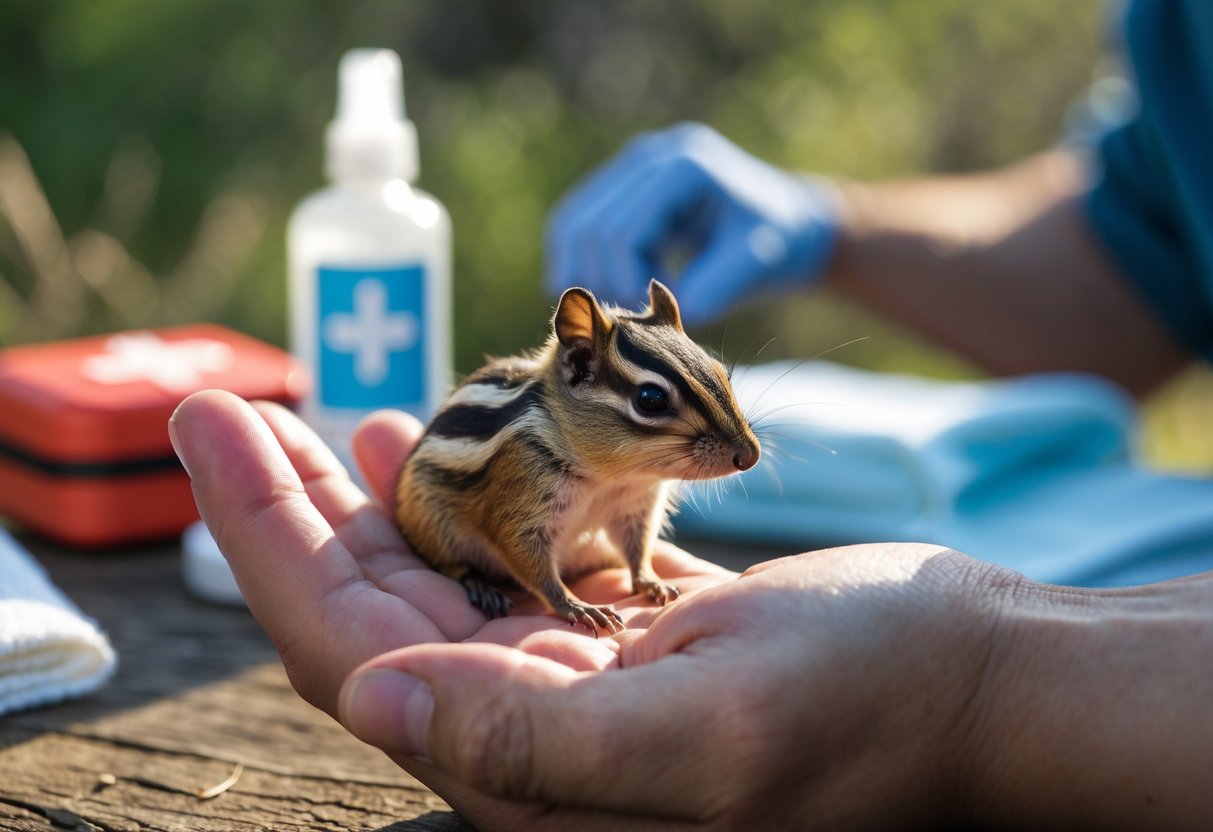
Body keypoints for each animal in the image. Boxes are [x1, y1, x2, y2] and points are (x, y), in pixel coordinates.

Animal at [394, 279, 760, 635]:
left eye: (722, 373)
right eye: (650, 399)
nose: (750, 456)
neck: (608, 477)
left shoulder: (635, 507)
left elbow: (638, 548)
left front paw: (651, 581)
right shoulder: (520, 502)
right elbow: (528, 561)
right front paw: (576, 606)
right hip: (428, 520)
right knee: (448, 563)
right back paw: (480, 585)